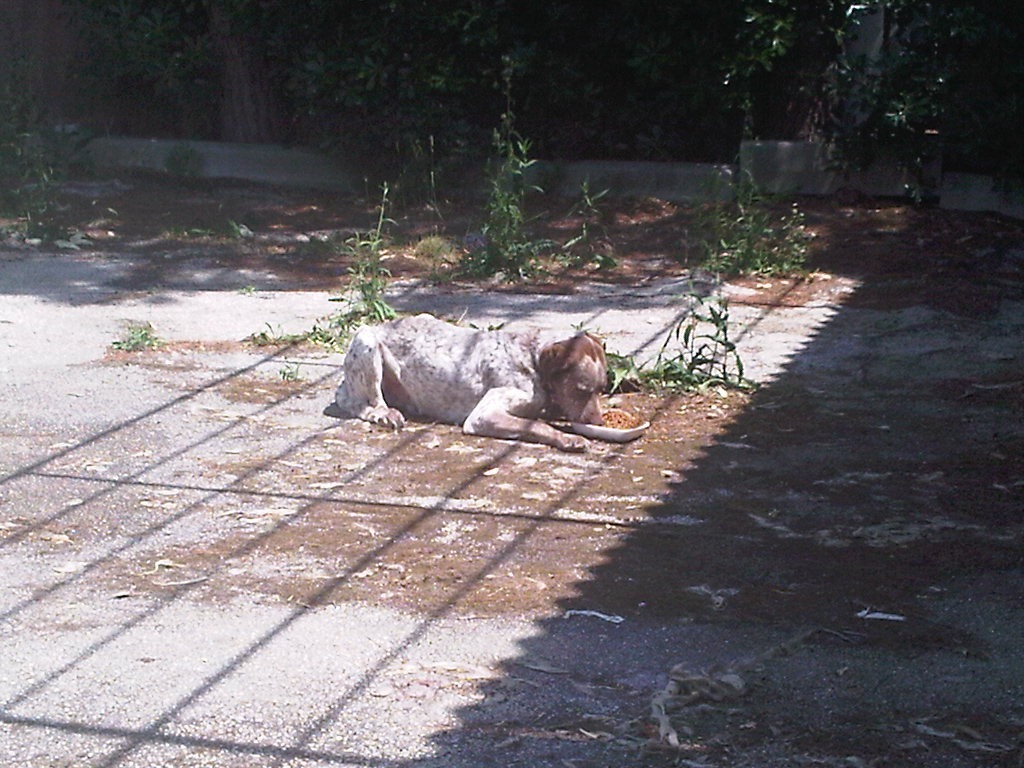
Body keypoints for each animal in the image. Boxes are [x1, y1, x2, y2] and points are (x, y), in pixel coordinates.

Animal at [330, 314, 606, 452]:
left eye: (602, 389)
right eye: (581, 390)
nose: (599, 424)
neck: (531, 359)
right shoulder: (483, 415)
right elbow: (538, 425)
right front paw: (568, 438)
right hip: (367, 341)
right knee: (366, 404)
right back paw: (385, 413)